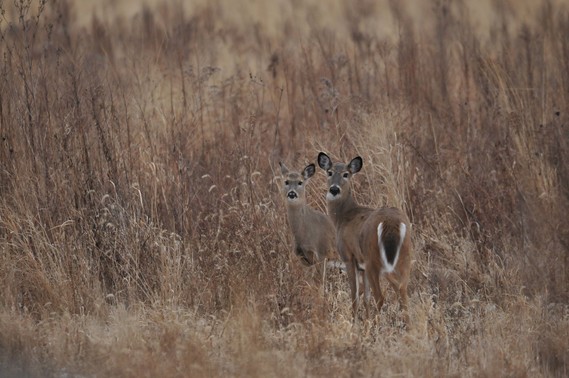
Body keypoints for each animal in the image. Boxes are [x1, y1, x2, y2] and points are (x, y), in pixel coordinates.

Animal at [316, 152, 412, 324]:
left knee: (382, 296)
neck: (342, 217)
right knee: (403, 292)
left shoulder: (348, 256)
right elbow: (366, 297)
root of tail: (391, 224)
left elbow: (355, 295)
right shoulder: (362, 266)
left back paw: (376, 326)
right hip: (405, 256)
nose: (334, 189)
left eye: (346, 174)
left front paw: (354, 323)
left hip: (373, 259)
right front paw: (365, 322)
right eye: (329, 172)